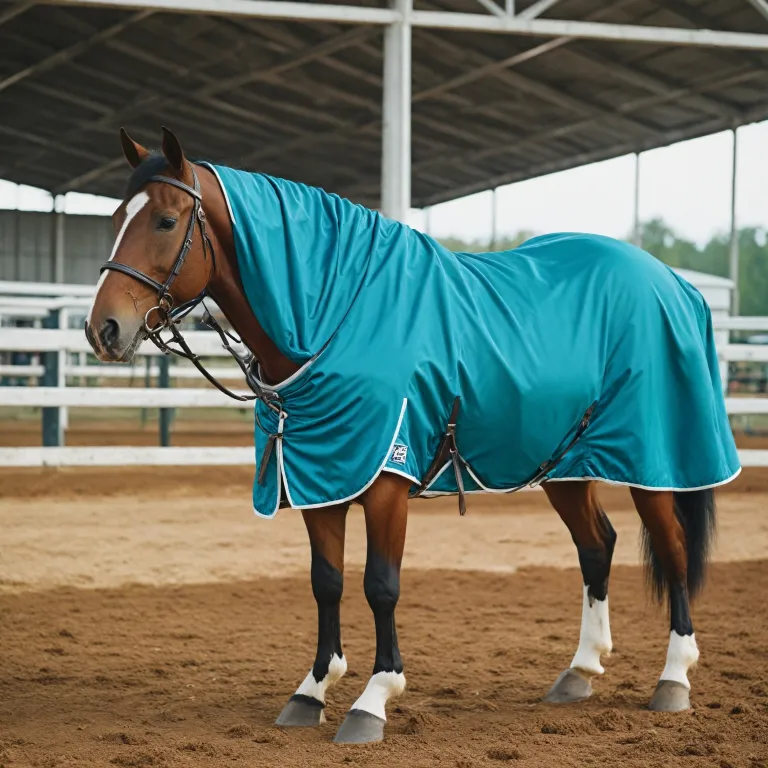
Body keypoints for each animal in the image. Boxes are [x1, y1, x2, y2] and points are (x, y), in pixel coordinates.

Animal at [85, 127, 740, 744]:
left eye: (167, 220)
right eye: (115, 219)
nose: (104, 330)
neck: (335, 317)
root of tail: (677, 285)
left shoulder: (385, 480)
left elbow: (380, 586)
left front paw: (374, 699)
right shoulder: (320, 477)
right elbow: (326, 583)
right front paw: (311, 692)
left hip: (653, 461)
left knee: (673, 549)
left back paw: (674, 678)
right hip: (566, 464)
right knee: (597, 546)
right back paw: (579, 671)